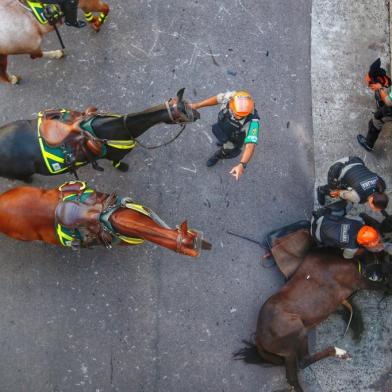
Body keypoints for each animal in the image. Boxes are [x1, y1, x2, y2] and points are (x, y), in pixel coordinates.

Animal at [234, 227, 390, 392]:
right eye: (380, 254)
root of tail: (259, 338)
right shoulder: (358, 281)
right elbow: (382, 285)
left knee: (294, 375)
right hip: (296, 331)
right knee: (302, 363)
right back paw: (339, 352)